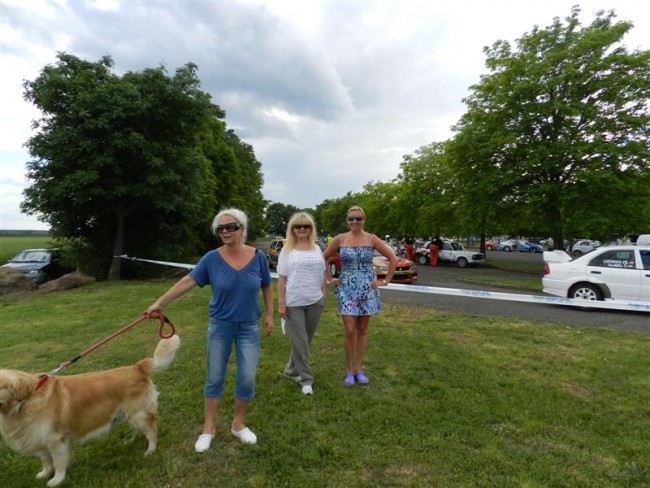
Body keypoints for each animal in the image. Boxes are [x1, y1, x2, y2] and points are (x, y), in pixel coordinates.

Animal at [0, 334, 180, 487]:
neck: (28, 398)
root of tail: (137, 367)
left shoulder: (56, 439)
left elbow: (58, 462)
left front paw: (56, 480)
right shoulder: (39, 437)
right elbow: (46, 461)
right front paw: (44, 473)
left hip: (139, 414)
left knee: (152, 430)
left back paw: (150, 450)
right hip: (130, 415)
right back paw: (130, 441)